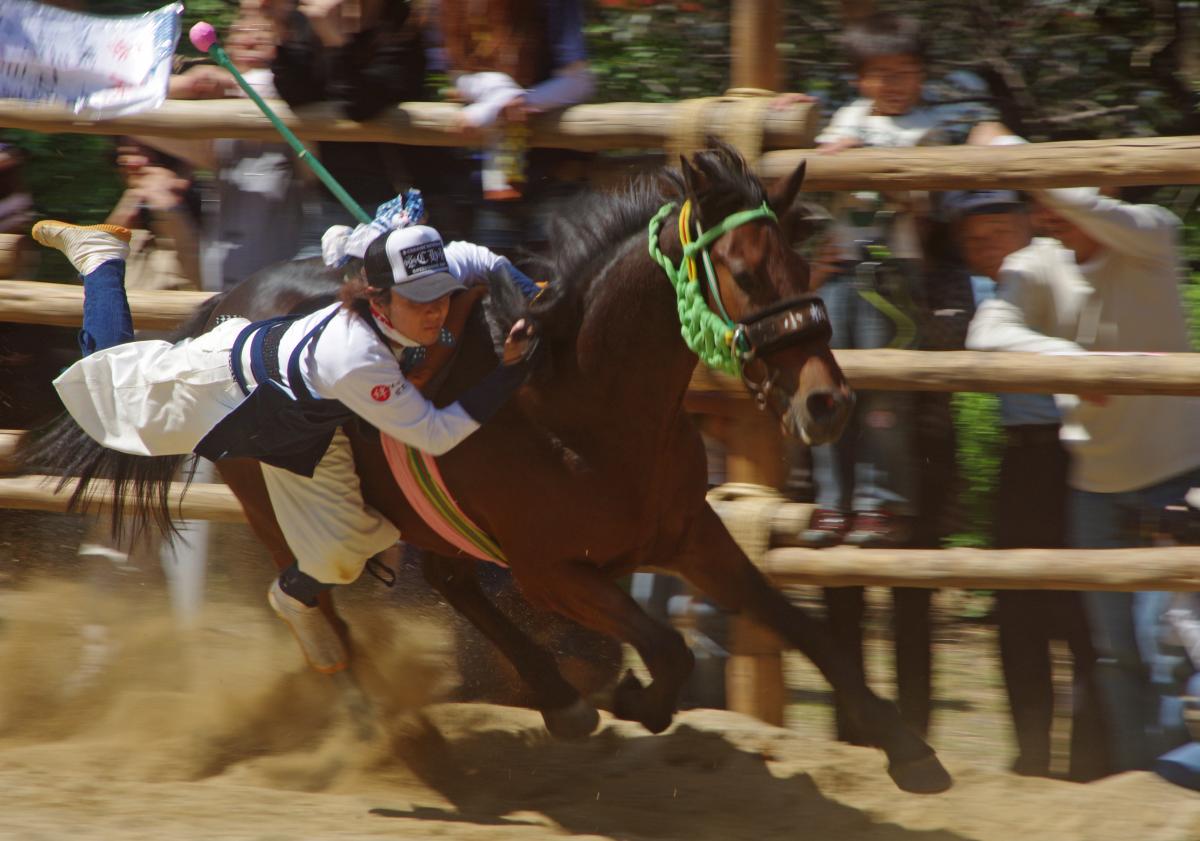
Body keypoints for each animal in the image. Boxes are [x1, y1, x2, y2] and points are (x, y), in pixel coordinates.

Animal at [18, 144, 950, 791]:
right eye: (746, 270)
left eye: (803, 262)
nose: (827, 404)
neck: (584, 410)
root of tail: (230, 308)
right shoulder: (551, 570)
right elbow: (667, 645)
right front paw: (636, 699)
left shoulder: (692, 533)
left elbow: (798, 625)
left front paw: (908, 750)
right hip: (282, 502)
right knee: (315, 599)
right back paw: (404, 732)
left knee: (442, 580)